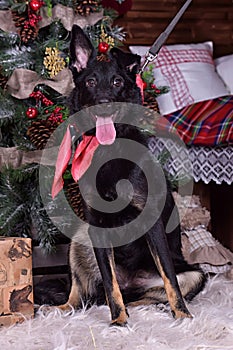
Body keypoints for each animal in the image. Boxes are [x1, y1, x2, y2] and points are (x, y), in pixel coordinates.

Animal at [53, 24, 207, 326]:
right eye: (90, 82)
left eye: (116, 82)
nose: (102, 103)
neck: (108, 150)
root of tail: (132, 284)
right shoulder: (97, 226)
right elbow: (110, 283)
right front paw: (118, 321)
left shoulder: (152, 224)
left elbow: (170, 278)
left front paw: (182, 315)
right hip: (79, 238)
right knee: (84, 292)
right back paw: (60, 310)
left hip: (196, 273)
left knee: (150, 295)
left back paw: (156, 309)